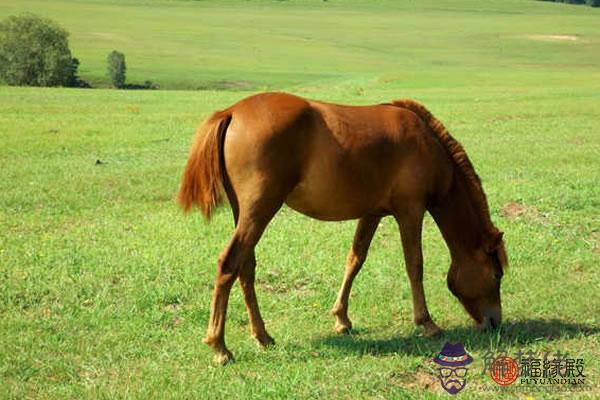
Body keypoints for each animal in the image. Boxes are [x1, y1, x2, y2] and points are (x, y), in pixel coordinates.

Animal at [177, 92, 506, 364]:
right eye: (497, 274)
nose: (495, 322)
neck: (427, 145)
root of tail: (232, 111)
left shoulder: (372, 214)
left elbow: (355, 259)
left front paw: (341, 318)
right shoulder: (410, 211)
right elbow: (415, 265)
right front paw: (427, 323)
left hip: (245, 214)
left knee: (245, 267)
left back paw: (262, 336)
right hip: (259, 211)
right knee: (229, 264)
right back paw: (219, 346)